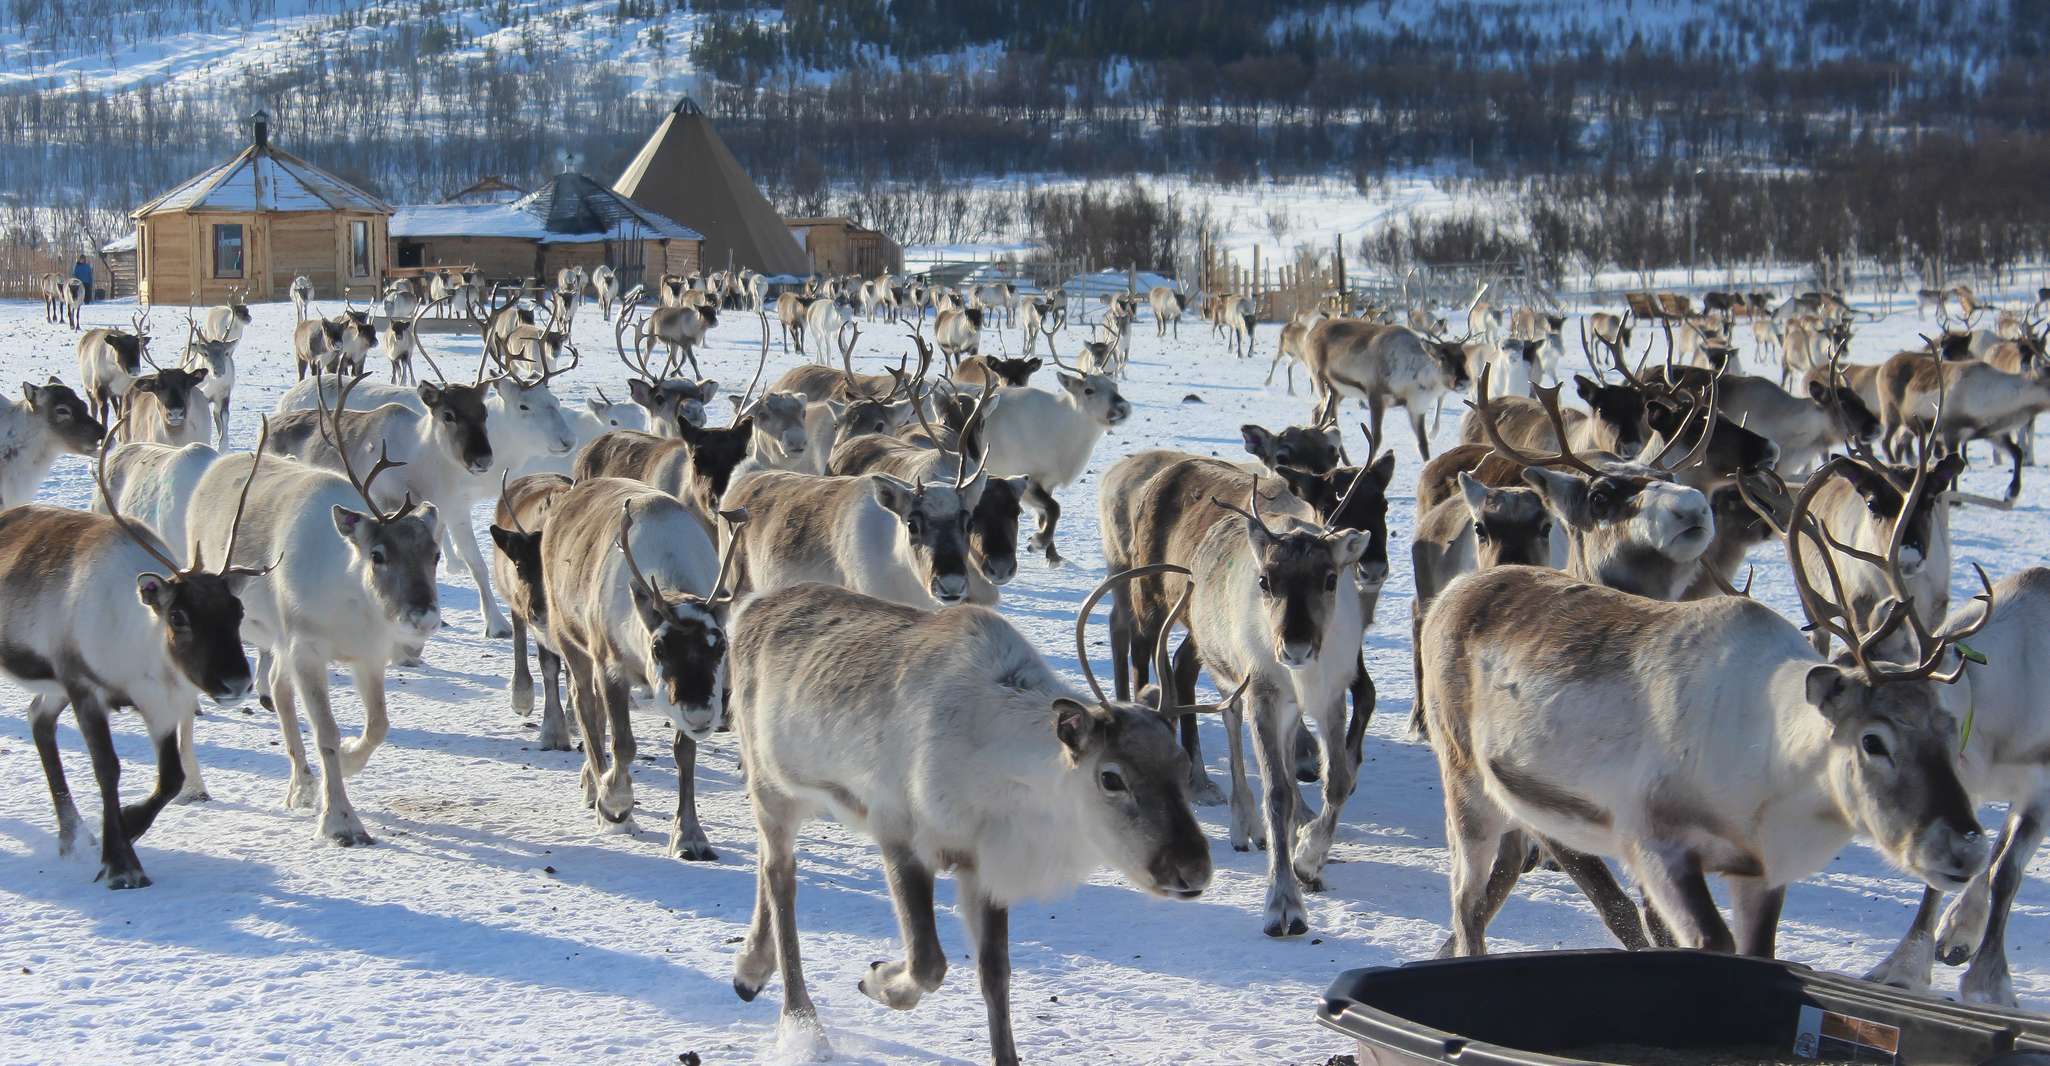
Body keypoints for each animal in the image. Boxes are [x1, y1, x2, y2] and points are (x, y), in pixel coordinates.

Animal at [11, 423, 263, 887]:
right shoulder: (84, 686)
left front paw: (126, 826)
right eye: (178, 616)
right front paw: (121, 863)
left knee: (38, 719)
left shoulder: (159, 703)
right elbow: (107, 767)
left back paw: (72, 837)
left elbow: (172, 778)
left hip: (53, 687)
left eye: (237, 610)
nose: (236, 681)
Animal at [191, 395, 444, 847]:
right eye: (377, 555)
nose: (425, 617)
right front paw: (340, 820)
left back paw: (302, 785)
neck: (349, 601)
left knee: (277, 688)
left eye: (435, 554)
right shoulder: (306, 649)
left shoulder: (368, 656)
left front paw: (347, 762)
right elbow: (326, 731)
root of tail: (219, 465)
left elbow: (378, 724)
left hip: (279, 640)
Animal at [541, 478, 745, 858]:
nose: (701, 714)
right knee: (585, 705)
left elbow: (685, 754)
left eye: (721, 645)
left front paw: (690, 836)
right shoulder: (611, 667)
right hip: (570, 639)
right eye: (658, 647)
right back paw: (599, 792)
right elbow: (623, 744)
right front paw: (615, 804)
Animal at [725, 566, 1228, 1065]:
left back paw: (750, 971)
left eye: (1182, 764)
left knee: (769, 867)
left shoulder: (985, 865)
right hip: (772, 786)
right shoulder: (899, 832)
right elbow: (928, 962)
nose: (1193, 869)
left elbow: (995, 975)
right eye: (1111, 778)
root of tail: (750, 607)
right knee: (780, 875)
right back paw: (800, 1019)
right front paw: (876, 978)